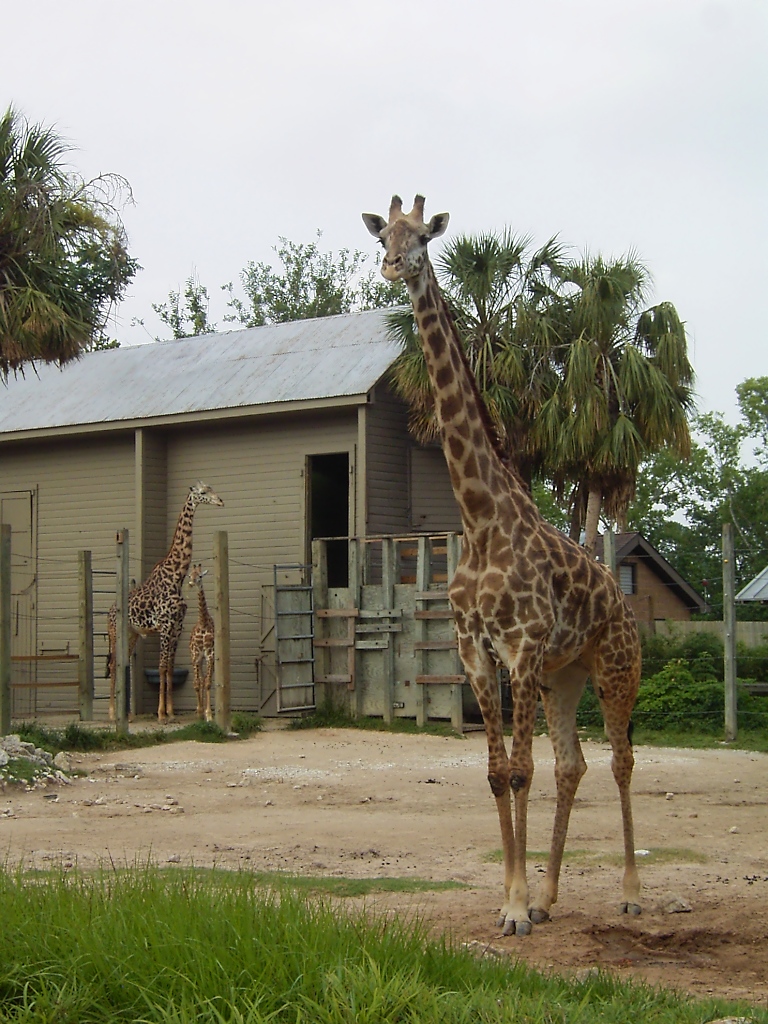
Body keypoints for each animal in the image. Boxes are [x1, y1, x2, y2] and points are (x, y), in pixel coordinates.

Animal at [107, 483, 225, 724]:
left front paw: (170, 711)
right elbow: (161, 667)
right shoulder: (164, 625)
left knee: (124, 663)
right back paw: (113, 714)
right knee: (114, 664)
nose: (221, 501)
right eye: (203, 492)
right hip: (115, 633)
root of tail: (109, 610)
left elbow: (170, 667)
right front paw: (161, 714)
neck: (176, 576)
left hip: (132, 634)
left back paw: (128, 715)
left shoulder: (177, 627)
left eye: (212, 489)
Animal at [364, 197, 647, 937]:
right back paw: (551, 897)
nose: (393, 266)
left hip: (615, 669)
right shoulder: (476, 651)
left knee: (622, 760)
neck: (480, 518)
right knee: (573, 764)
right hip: (563, 677)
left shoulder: (519, 648)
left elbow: (519, 772)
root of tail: (623, 602)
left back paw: (631, 891)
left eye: (422, 237)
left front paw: (516, 908)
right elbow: (498, 772)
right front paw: (516, 900)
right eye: (381, 236)